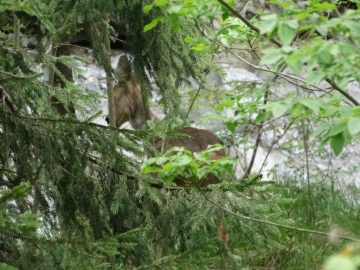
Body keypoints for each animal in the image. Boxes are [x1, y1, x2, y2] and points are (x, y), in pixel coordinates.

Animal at [105, 56, 228, 246]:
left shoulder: (158, 184)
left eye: (114, 95)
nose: (107, 118)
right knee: (223, 228)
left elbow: (159, 232)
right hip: (217, 186)